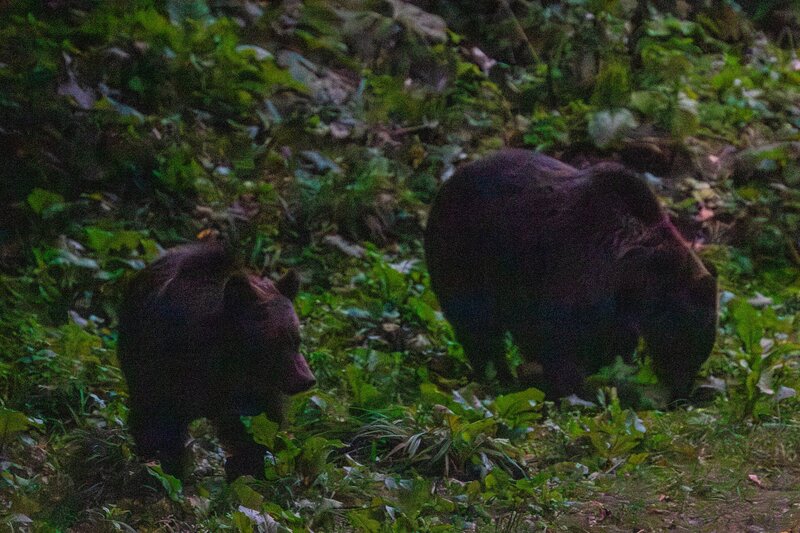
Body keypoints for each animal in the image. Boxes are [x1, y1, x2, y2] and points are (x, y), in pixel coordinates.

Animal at [117, 241, 316, 479]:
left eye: (297, 339)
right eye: (276, 342)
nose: (306, 379)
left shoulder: (250, 393)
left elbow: (256, 430)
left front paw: (248, 471)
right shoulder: (166, 370)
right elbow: (159, 425)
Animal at [424, 149, 717, 402]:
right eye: (688, 344)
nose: (681, 391)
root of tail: (447, 183)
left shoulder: (613, 312)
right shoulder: (571, 275)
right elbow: (561, 342)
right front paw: (574, 392)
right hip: (465, 257)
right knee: (476, 326)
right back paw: (497, 376)